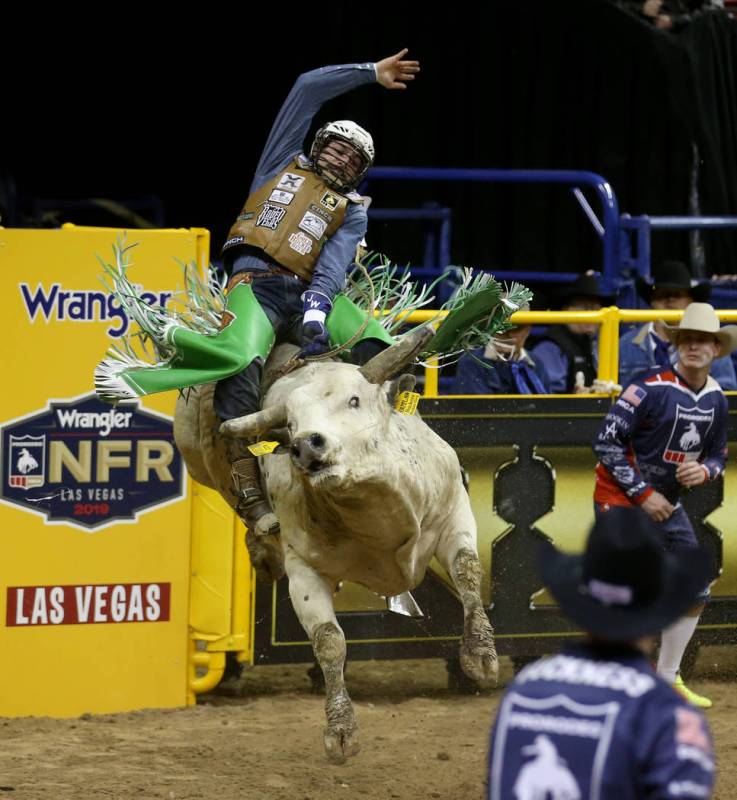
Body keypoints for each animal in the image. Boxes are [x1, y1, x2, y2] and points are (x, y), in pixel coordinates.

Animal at [173, 328, 498, 764]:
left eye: (354, 399)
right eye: (290, 421)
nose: (306, 446)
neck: (375, 510)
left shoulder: (453, 512)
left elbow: (466, 570)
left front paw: (480, 656)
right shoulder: (304, 569)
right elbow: (329, 641)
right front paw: (341, 731)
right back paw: (261, 543)